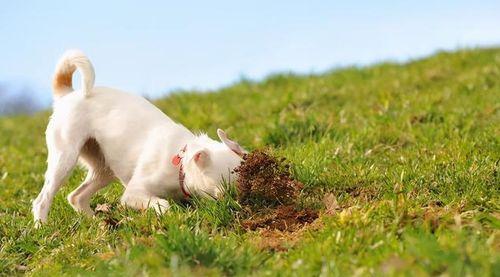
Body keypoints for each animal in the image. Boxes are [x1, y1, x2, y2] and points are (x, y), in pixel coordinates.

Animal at [31, 49, 246, 224]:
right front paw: (167, 213)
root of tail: (67, 95)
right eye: (223, 193)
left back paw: (94, 221)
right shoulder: (133, 193)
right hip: (64, 159)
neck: (181, 167)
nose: (239, 206)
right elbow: (163, 204)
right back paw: (42, 226)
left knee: (76, 197)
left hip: (104, 168)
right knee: (42, 199)